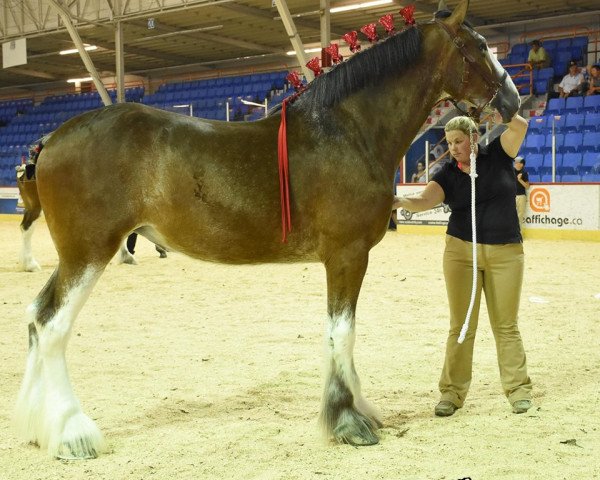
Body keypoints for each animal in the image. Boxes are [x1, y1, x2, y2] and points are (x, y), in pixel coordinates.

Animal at [14, 0, 520, 460]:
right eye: (479, 46)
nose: (514, 101)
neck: (348, 131)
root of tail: (51, 140)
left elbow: (343, 335)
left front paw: (358, 410)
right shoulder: (347, 255)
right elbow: (342, 333)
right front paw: (347, 423)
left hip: (76, 256)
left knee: (36, 317)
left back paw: (39, 427)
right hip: (88, 253)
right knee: (52, 324)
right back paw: (73, 434)